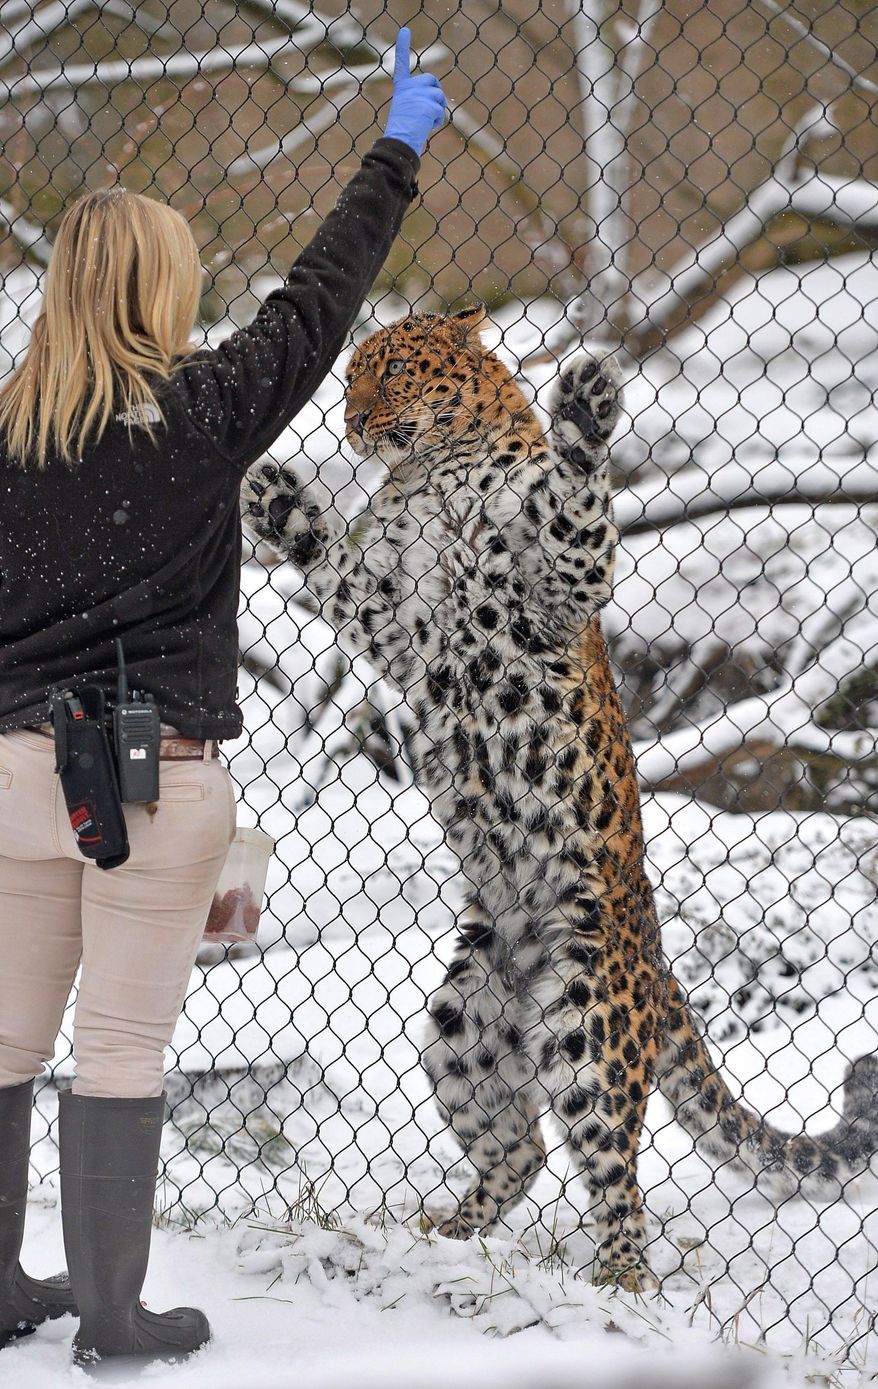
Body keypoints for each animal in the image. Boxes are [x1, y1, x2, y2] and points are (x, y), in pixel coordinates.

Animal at [241, 305, 878, 1291]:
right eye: (350, 377)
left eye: (394, 370)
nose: (352, 421)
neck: (435, 472)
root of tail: (660, 968)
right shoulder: (390, 619)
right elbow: (333, 568)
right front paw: (277, 503)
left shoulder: (556, 589)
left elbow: (576, 506)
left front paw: (581, 413)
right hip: (464, 1020)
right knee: (524, 1148)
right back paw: (447, 1232)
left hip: (587, 1012)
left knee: (613, 1165)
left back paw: (619, 1277)